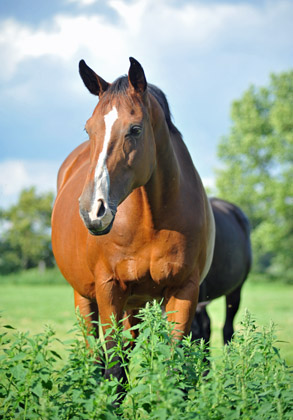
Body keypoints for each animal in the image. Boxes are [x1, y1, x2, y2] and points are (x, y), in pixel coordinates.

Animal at [50, 56, 214, 380]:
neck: (151, 221)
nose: (93, 210)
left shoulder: (185, 291)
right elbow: (114, 366)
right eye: (88, 130)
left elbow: (172, 367)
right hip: (85, 298)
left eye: (135, 129)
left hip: (136, 305)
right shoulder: (109, 288)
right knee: (94, 355)